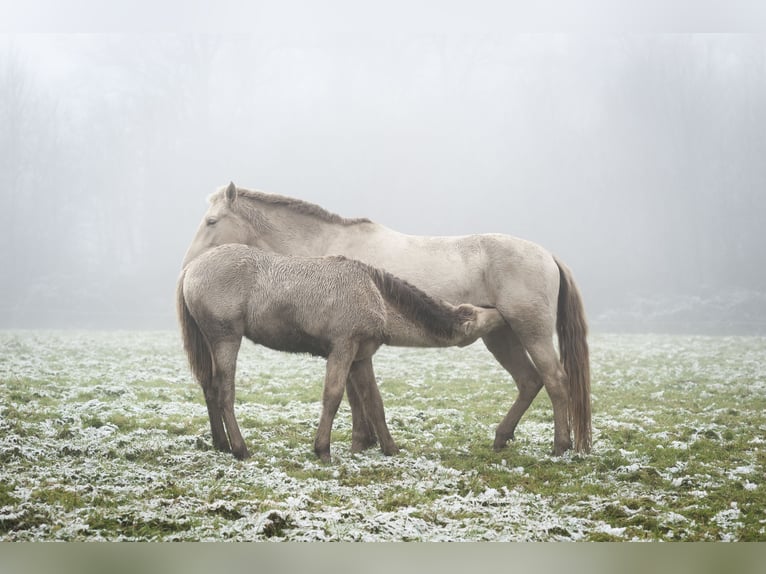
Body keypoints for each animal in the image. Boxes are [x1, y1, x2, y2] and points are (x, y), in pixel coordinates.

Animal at [183, 182, 592, 456]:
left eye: (212, 221)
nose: (186, 265)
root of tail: (548, 255)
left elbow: (350, 394)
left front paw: (357, 442)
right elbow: (358, 394)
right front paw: (365, 441)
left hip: (531, 331)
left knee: (555, 381)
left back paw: (560, 445)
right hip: (501, 335)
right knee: (529, 381)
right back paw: (502, 437)